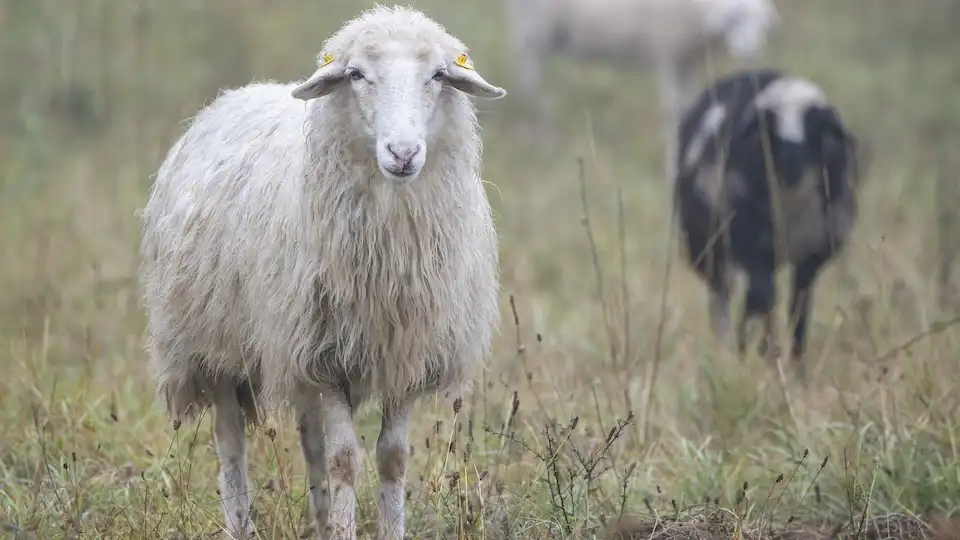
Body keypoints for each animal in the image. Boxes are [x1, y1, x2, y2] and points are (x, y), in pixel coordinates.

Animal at [137, 6, 506, 539]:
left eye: (438, 75)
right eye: (355, 75)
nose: (402, 154)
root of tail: (233, 96)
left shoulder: (404, 353)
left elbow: (392, 459)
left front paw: (376, 526)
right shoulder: (326, 358)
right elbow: (345, 461)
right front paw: (345, 525)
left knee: (309, 436)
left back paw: (320, 519)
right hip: (212, 341)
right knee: (231, 441)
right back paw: (241, 523)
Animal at [502, 0, 780, 182]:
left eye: (763, 26)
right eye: (734, 20)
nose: (748, 51)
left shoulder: (689, 60)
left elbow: (688, 105)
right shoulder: (668, 52)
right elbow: (671, 109)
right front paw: (671, 166)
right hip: (536, 29)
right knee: (531, 76)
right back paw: (540, 126)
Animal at [673, 67, 861, 382]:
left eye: (816, 127)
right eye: (768, 130)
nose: (791, 168)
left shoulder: (811, 258)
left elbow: (798, 309)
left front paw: (796, 370)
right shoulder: (747, 243)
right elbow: (764, 297)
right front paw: (762, 354)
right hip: (709, 251)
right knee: (725, 297)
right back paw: (734, 349)